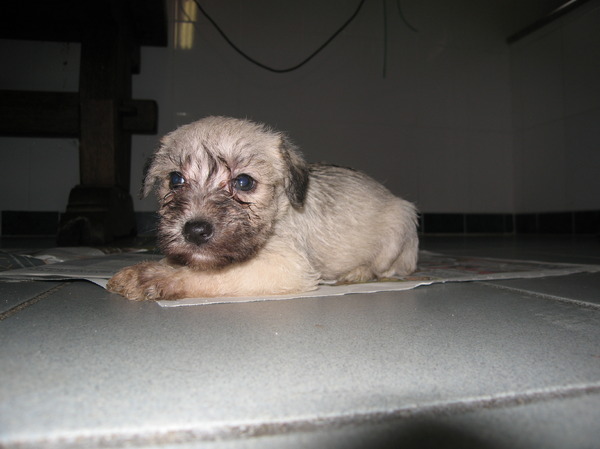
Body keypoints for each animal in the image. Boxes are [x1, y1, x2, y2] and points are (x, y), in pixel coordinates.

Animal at [106, 115, 418, 300]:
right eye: (175, 179)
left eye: (244, 182)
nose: (194, 230)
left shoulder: (285, 266)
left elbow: (215, 273)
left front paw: (152, 276)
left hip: (400, 223)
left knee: (388, 269)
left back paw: (358, 272)